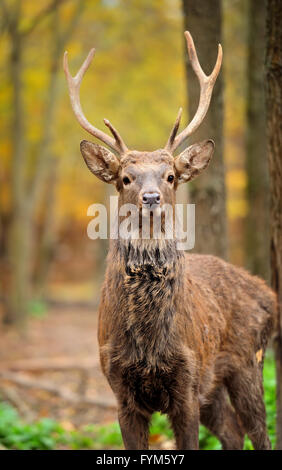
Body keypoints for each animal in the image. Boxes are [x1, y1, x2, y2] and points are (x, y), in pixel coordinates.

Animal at [62, 31, 276, 450]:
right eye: (125, 178)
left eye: (171, 175)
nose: (151, 198)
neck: (149, 348)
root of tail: (267, 294)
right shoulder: (119, 388)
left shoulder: (187, 385)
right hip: (217, 384)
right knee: (232, 432)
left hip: (248, 362)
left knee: (260, 433)